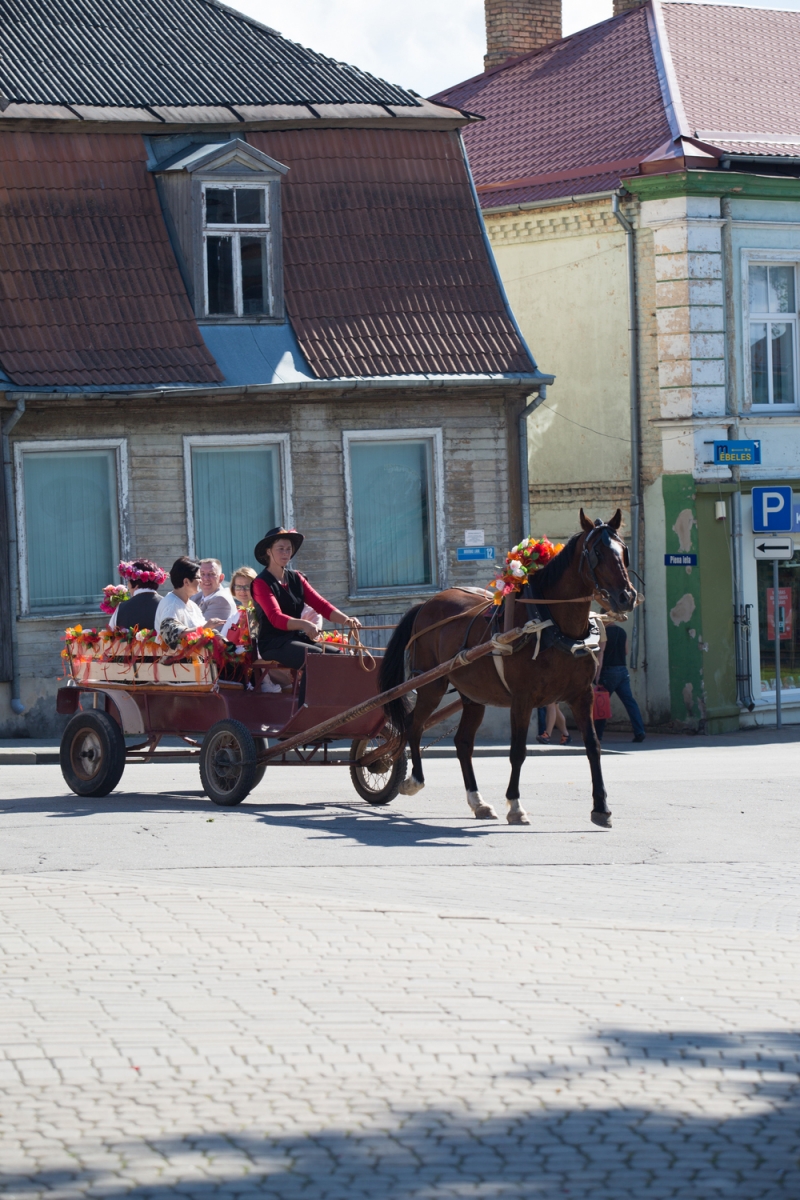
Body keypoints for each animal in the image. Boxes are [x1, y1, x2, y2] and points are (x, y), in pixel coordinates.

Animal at [381, 511, 638, 830]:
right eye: (596, 553)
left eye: (623, 551)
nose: (626, 596)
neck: (552, 625)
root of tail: (427, 603)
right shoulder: (523, 700)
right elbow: (518, 752)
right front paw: (515, 806)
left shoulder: (582, 695)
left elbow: (593, 746)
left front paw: (601, 807)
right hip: (431, 684)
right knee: (413, 726)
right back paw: (414, 779)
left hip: (472, 696)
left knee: (462, 742)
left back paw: (477, 802)